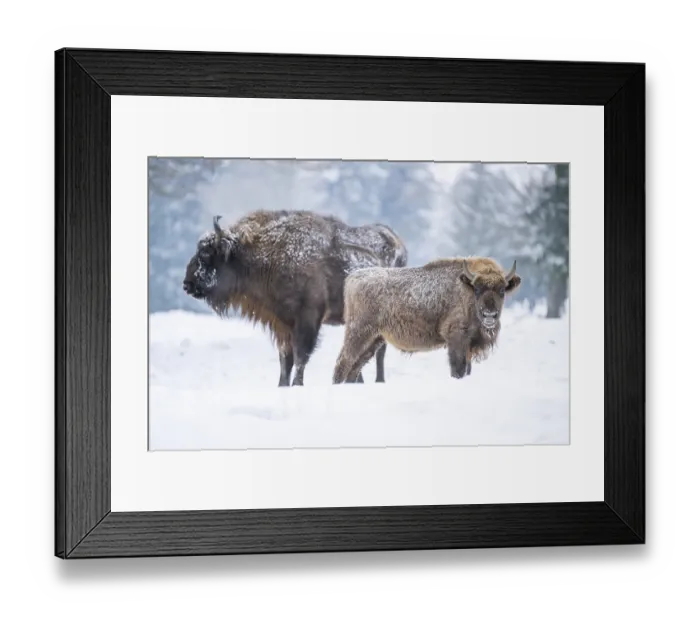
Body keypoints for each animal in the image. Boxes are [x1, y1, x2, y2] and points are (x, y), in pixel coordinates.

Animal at [182, 209, 407, 387]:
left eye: (206, 253)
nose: (187, 284)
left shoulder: (307, 319)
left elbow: (300, 357)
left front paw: (297, 385)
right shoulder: (283, 324)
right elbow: (285, 360)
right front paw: (282, 385)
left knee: (379, 351)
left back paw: (378, 381)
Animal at [332, 256, 521, 383]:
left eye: (502, 290)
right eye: (477, 289)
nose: (489, 315)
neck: (465, 288)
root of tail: (352, 278)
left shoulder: (469, 345)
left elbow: (466, 369)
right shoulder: (457, 339)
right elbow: (458, 369)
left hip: (375, 339)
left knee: (355, 367)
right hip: (359, 332)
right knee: (344, 362)